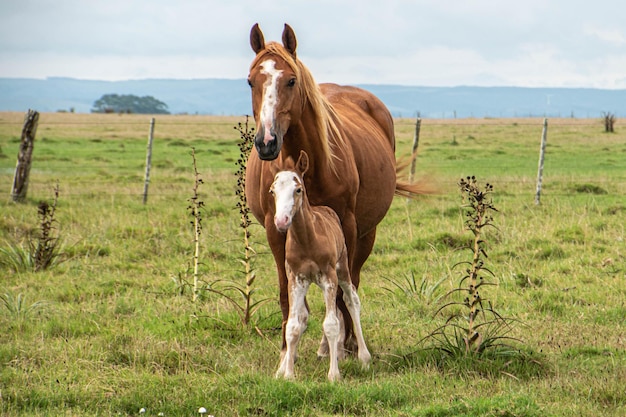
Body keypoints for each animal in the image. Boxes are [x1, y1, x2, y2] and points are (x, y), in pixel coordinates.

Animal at [244, 22, 424, 354]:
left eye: (291, 80)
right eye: (251, 82)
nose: (267, 142)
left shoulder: (346, 227)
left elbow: (342, 292)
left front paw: (341, 344)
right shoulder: (275, 229)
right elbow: (286, 292)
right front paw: (287, 348)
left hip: (365, 232)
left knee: (351, 283)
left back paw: (346, 339)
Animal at [270, 151, 370, 382]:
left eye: (298, 189)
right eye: (272, 190)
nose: (281, 221)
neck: (308, 240)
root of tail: (327, 209)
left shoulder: (329, 277)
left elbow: (331, 324)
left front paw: (334, 375)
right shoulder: (296, 279)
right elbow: (293, 325)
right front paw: (288, 375)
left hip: (343, 269)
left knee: (352, 300)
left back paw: (364, 357)